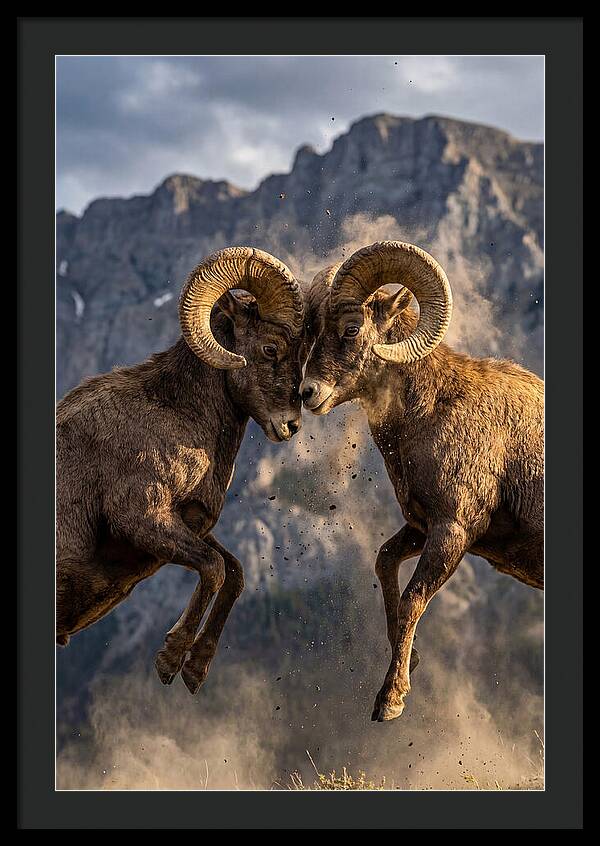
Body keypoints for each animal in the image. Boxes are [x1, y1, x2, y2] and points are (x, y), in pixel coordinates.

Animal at [56, 246, 307, 693]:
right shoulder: (142, 519)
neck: (177, 414)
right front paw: (171, 660)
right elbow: (213, 568)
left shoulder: (189, 525)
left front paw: (195, 670)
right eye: (270, 348)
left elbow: (234, 572)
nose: (291, 425)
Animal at [300, 241, 543, 722]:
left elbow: (414, 598)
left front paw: (390, 700)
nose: (307, 393)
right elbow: (384, 563)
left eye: (351, 328)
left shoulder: (453, 531)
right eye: (313, 329)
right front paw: (409, 660)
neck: (432, 410)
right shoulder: (420, 527)